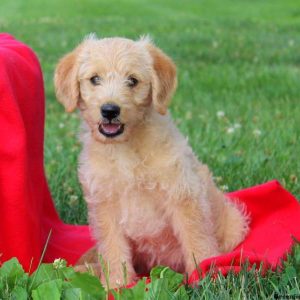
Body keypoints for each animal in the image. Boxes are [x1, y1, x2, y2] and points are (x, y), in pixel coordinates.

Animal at [55, 34, 250, 286]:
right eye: (94, 79)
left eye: (132, 81)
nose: (110, 110)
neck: (125, 149)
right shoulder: (104, 207)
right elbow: (113, 249)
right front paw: (117, 284)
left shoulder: (183, 195)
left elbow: (196, 238)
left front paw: (205, 274)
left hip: (234, 224)